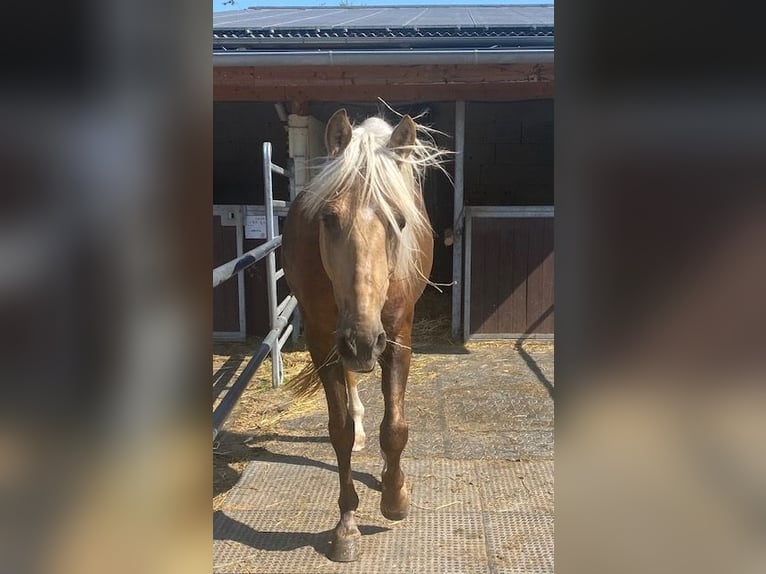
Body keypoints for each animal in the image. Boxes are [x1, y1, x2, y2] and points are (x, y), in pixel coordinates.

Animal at [282, 108, 450, 564]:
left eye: (400, 220)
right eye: (328, 218)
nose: (361, 341)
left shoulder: (397, 337)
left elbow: (394, 428)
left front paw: (395, 497)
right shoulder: (325, 341)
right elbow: (338, 431)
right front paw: (346, 525)